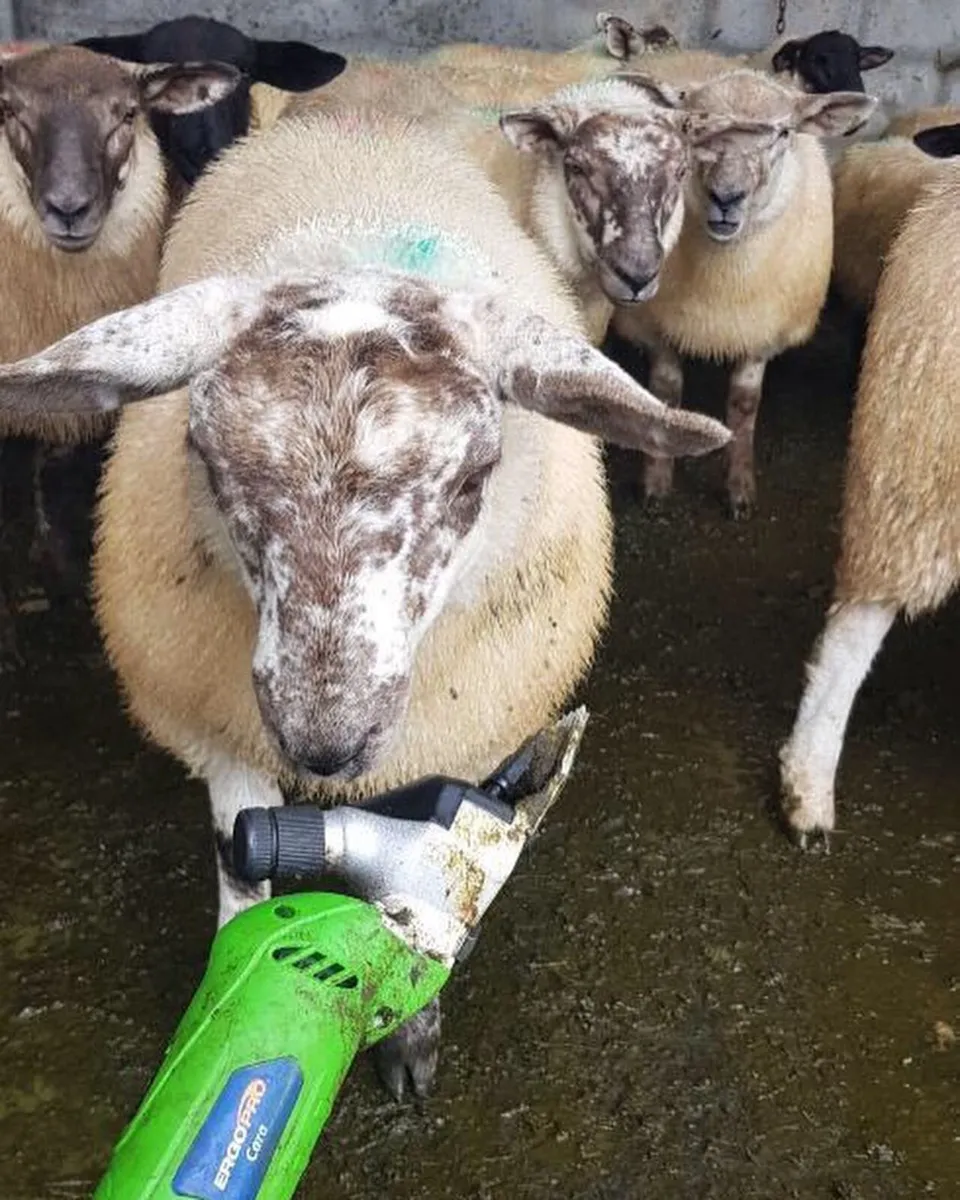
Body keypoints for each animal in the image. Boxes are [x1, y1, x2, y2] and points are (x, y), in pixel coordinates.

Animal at [610, 69, 875, 518]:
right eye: (692, 129)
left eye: (784, 132)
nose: (726, 197)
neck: (723, 278)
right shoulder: (654, 326)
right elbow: (666, 394)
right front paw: (657, 484)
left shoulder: (761, 332)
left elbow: (744, 405)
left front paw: (739, 489)